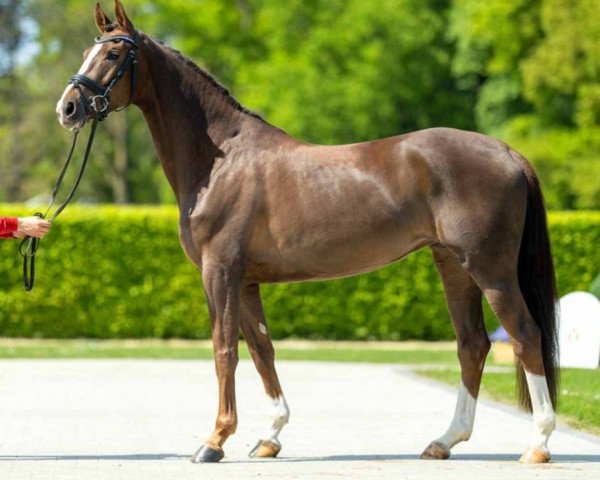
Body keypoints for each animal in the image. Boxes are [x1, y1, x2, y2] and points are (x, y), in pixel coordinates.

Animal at [56, 0, 556, 464]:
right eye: (86, 52)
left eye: (114, 52)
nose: (68, 107)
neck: (221, 160)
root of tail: (508, 152)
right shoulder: (247, 281)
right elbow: (262, 349)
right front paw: (269, 437)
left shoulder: (220, 272)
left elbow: (224, 350)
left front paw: (214, 441)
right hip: (453, 266)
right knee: (472, 345)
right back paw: (444, 441)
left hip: (490, 270)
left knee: (525, 336)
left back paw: (537, 444)